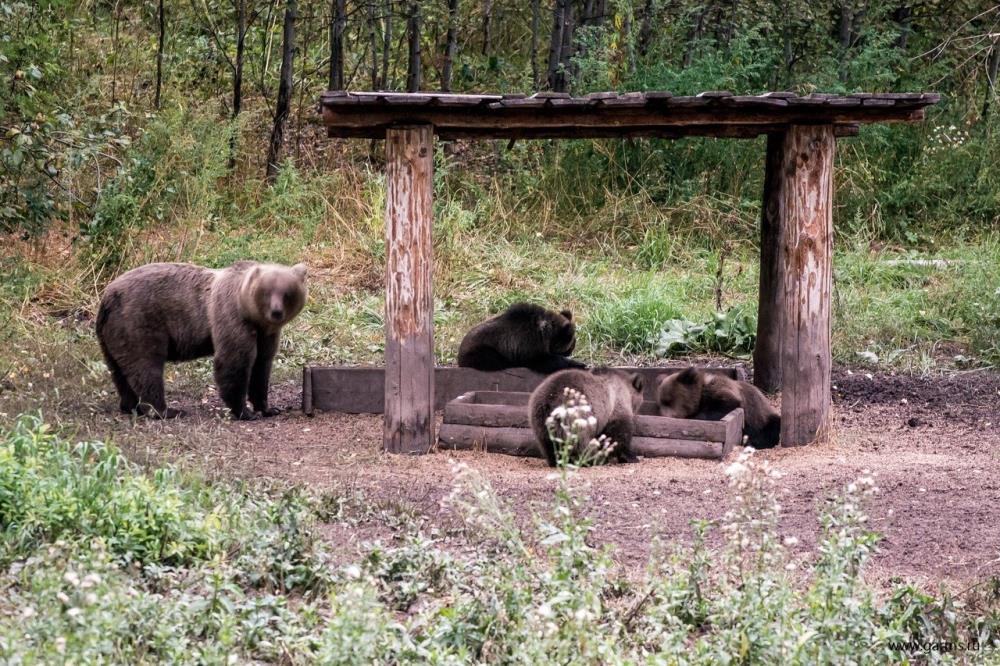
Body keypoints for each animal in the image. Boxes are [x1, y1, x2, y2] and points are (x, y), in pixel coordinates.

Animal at [98, 260, 308, 420]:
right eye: (266, 292)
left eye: (287, 293)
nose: (276, 312)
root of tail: (106, 296)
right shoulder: (231, 317)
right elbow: (234, 362)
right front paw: (245, 411)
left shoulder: (266, 334)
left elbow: (262, 366)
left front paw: (268, 408)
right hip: (138, 322)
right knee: (146, 368)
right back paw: (167, 410)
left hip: (112, 335)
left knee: (119, 371)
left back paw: (130, 406)